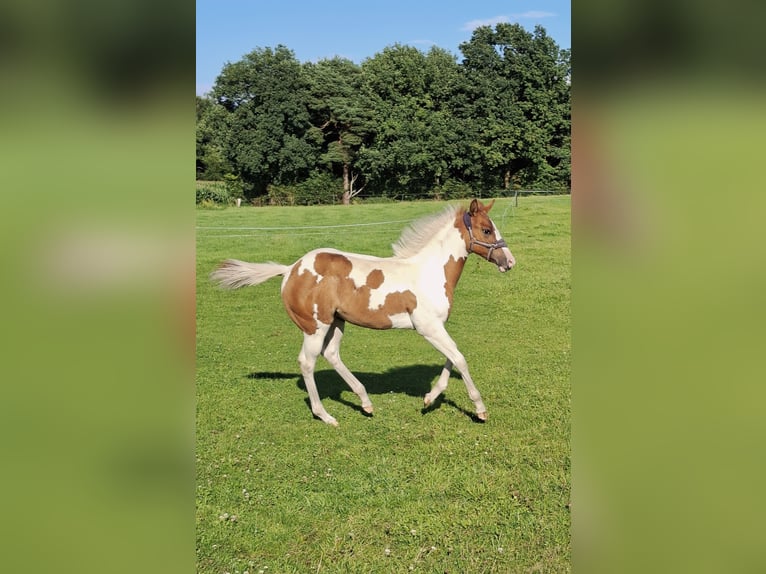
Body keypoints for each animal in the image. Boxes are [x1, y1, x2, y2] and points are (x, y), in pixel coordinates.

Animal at [211, 198, 516, 426]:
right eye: (486, 231)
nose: (509, 262)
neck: (429, 272)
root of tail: (290, 269)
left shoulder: (436, 327)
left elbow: (451, 358)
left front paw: (430, 398)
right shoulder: (428, 327)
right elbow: (460, 359)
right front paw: (480, 409)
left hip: (337, 323)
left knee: (332, 354)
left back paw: (365, 402)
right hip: (315, 326)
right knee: (307, 362)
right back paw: (326, 415)